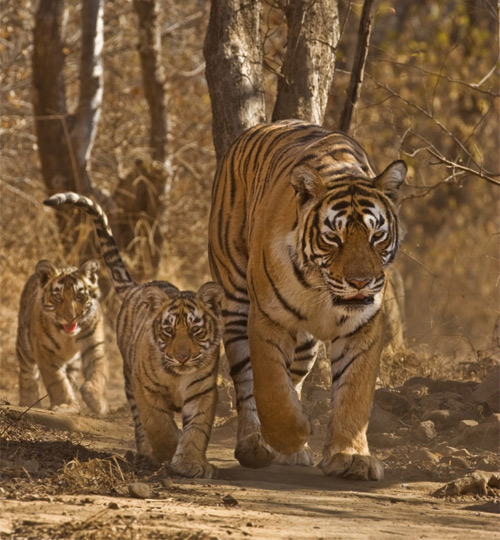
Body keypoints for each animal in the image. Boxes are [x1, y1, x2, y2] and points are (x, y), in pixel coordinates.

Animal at [16, 258, 108, 414]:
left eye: (79, 296)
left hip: (74, 363)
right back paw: (28, 402)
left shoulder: (94, 345)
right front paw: (66, 405)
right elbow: (56, 381)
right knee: (27, 375)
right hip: (25, 346)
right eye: (58, 297)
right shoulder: (44, 350)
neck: (68, 338)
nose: (70, 318)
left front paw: (97, 401)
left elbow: (98, 371)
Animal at [44, 192, 224, 478]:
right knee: (141, 423)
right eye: (168, 331)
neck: (178, 375)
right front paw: (168, 450)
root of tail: (138, 287)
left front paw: (191, 463)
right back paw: (145, 453)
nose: (182, 358)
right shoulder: (145, 389)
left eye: (196, 331)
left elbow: (197, 429)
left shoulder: (203, 391)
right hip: (129, 380)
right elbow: (158, 425)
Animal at [208, 120, 406, 478]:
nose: (361, 282)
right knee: (245, 381)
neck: (321, 292)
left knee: (295, 375)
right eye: (334, 238)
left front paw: (351, 456)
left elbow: (354, 393)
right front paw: (294, 432)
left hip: (305, 344)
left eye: (376, 236)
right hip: (235, 298)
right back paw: (255, 445)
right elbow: (270, 388)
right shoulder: (268, 318)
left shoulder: (363, 327)